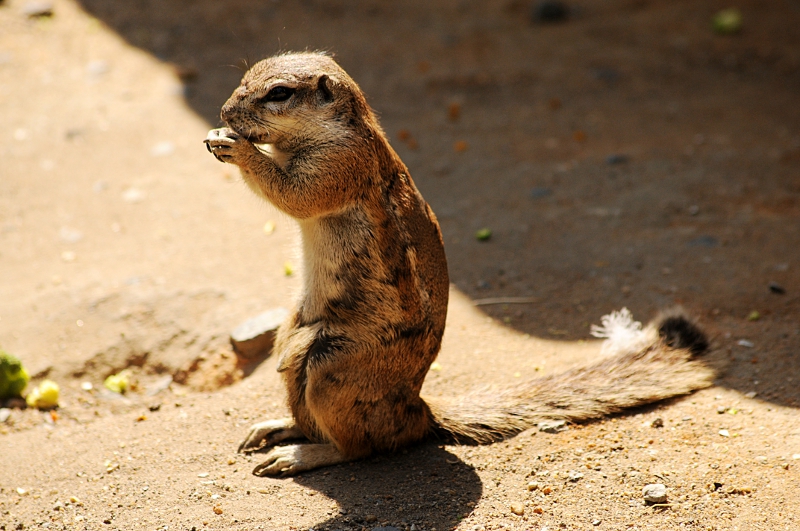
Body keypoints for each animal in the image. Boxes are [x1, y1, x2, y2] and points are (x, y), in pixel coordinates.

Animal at [204, 52, 714, 477]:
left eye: (279, 93)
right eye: (246, 78)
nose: (225, 113)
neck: (333, 131)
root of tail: (419, 409)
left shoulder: (339, 165)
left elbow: (294, 194)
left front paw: (237, 148)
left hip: (334, 369)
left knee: (362, 447)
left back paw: (298, 455)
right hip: (296, 340)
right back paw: (275, 428)